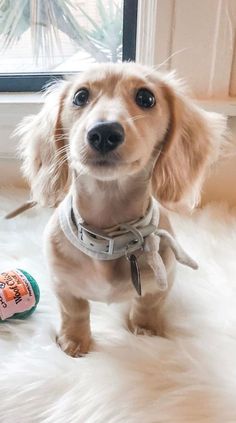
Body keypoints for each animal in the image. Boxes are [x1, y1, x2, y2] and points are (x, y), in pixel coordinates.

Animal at [17, 61, 227, 356]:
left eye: (146, 98)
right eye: (80, 96)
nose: (104, 133)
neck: (108, 238)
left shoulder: (160, 283)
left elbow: (147, 307)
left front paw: (146, 332)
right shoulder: (62, 284)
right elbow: (74, 311)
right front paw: (74, 341)